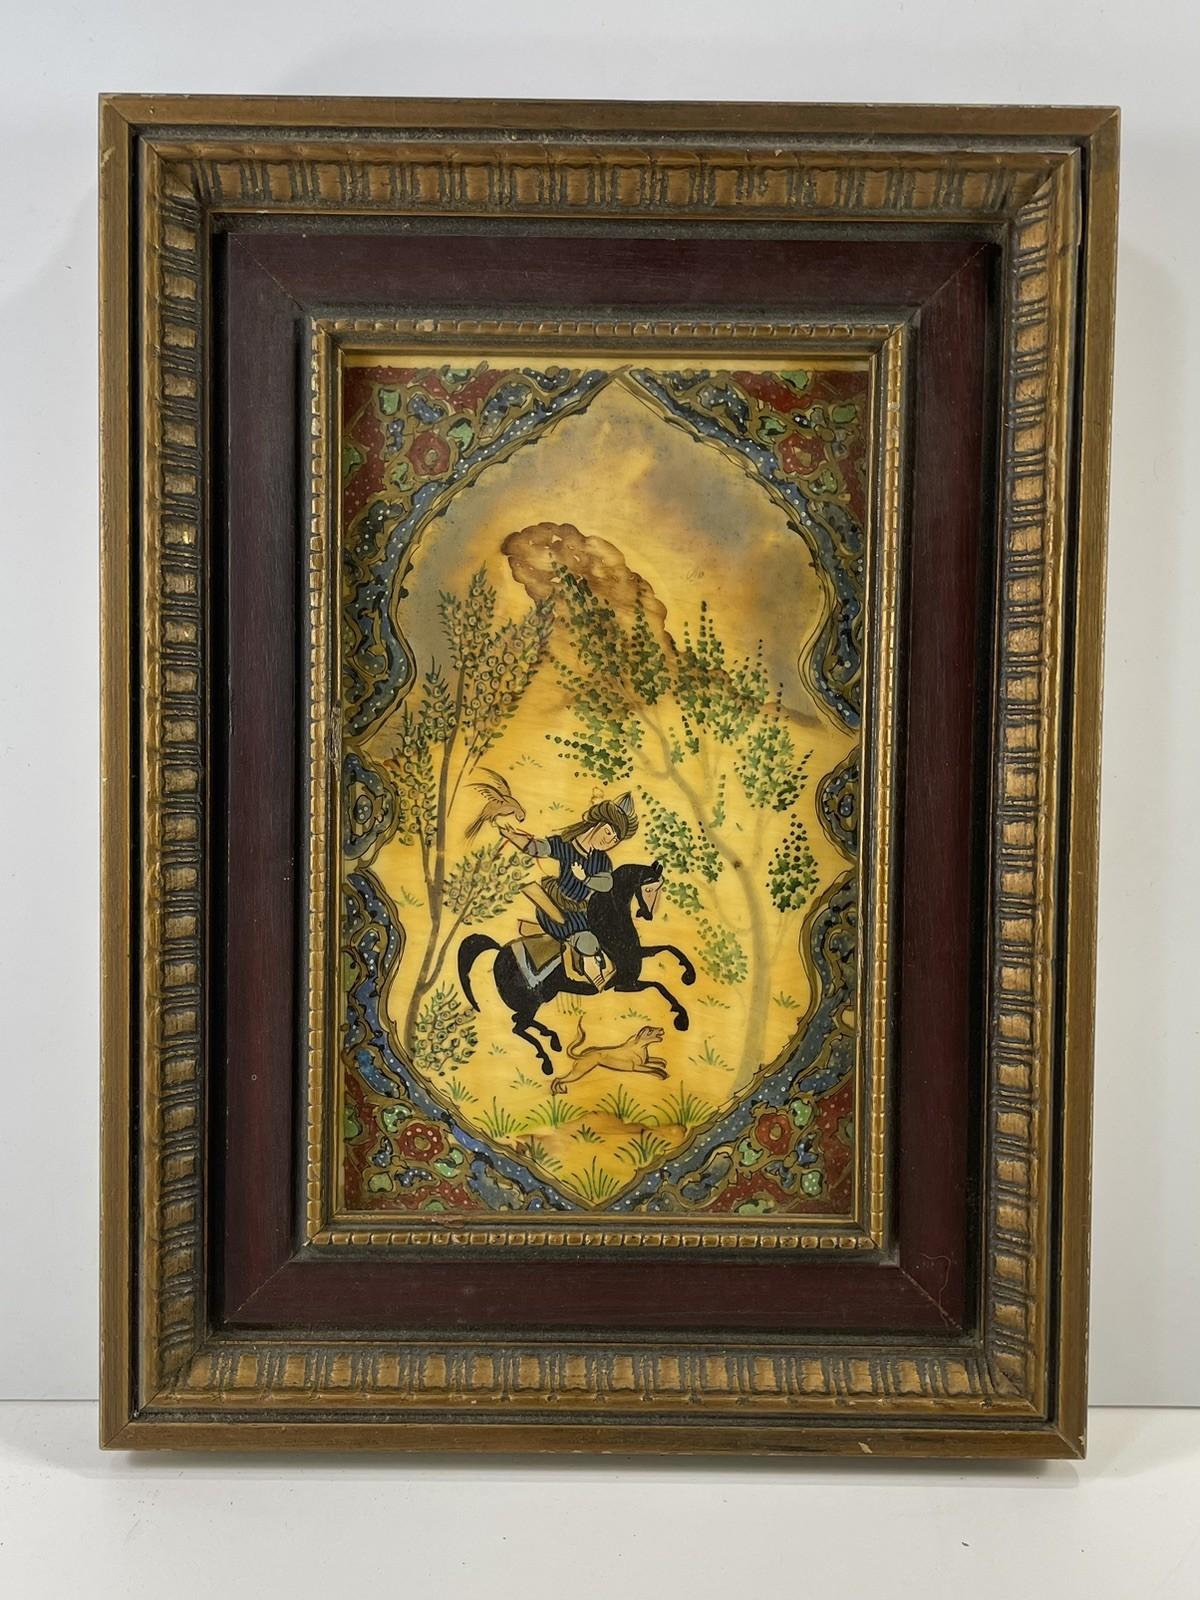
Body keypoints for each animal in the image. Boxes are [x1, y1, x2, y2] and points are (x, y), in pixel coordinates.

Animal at [457, 860, 697, 1075]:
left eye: (658, 888)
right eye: (647, 888)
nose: (647, 915)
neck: (612, 930)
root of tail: (499, 952)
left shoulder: (635, 958)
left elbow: (669, 949)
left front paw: (688, 975)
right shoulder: (626, 984)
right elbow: (659, 985)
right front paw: (681, 1018)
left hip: (542, 998)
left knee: (521, 1022)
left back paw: (552, 1038)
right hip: (530, 1003)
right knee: (519, 1027)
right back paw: (547, 1061)